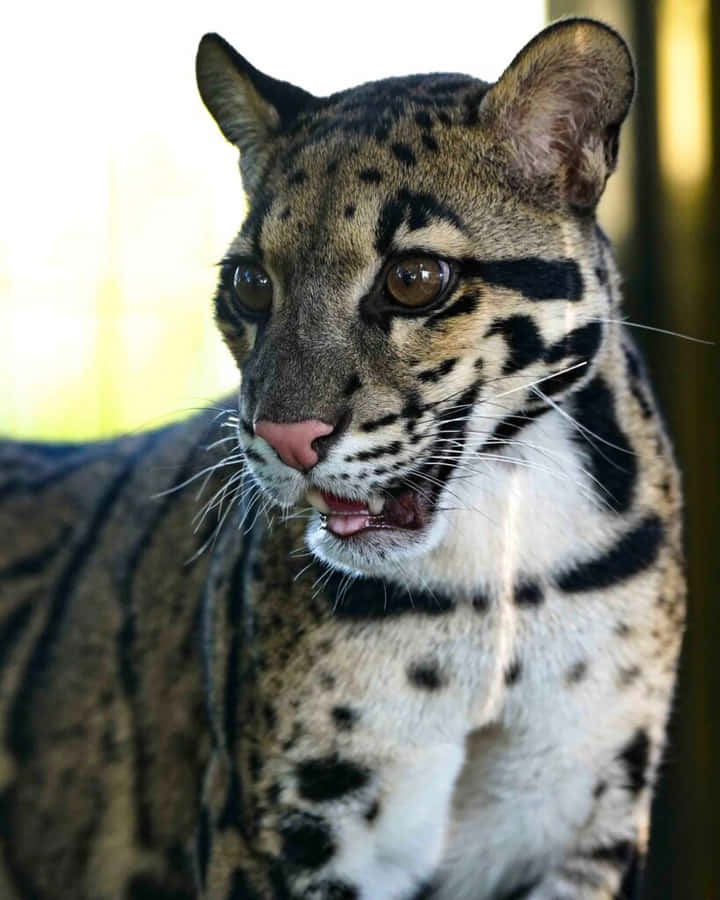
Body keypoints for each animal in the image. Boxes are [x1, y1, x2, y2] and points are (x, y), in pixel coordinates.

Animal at [0, 17, 685, 900]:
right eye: (250, 284)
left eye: (415, 278)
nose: (286, 437)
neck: (496, 578)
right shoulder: (280, 834)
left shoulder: (583, 821)